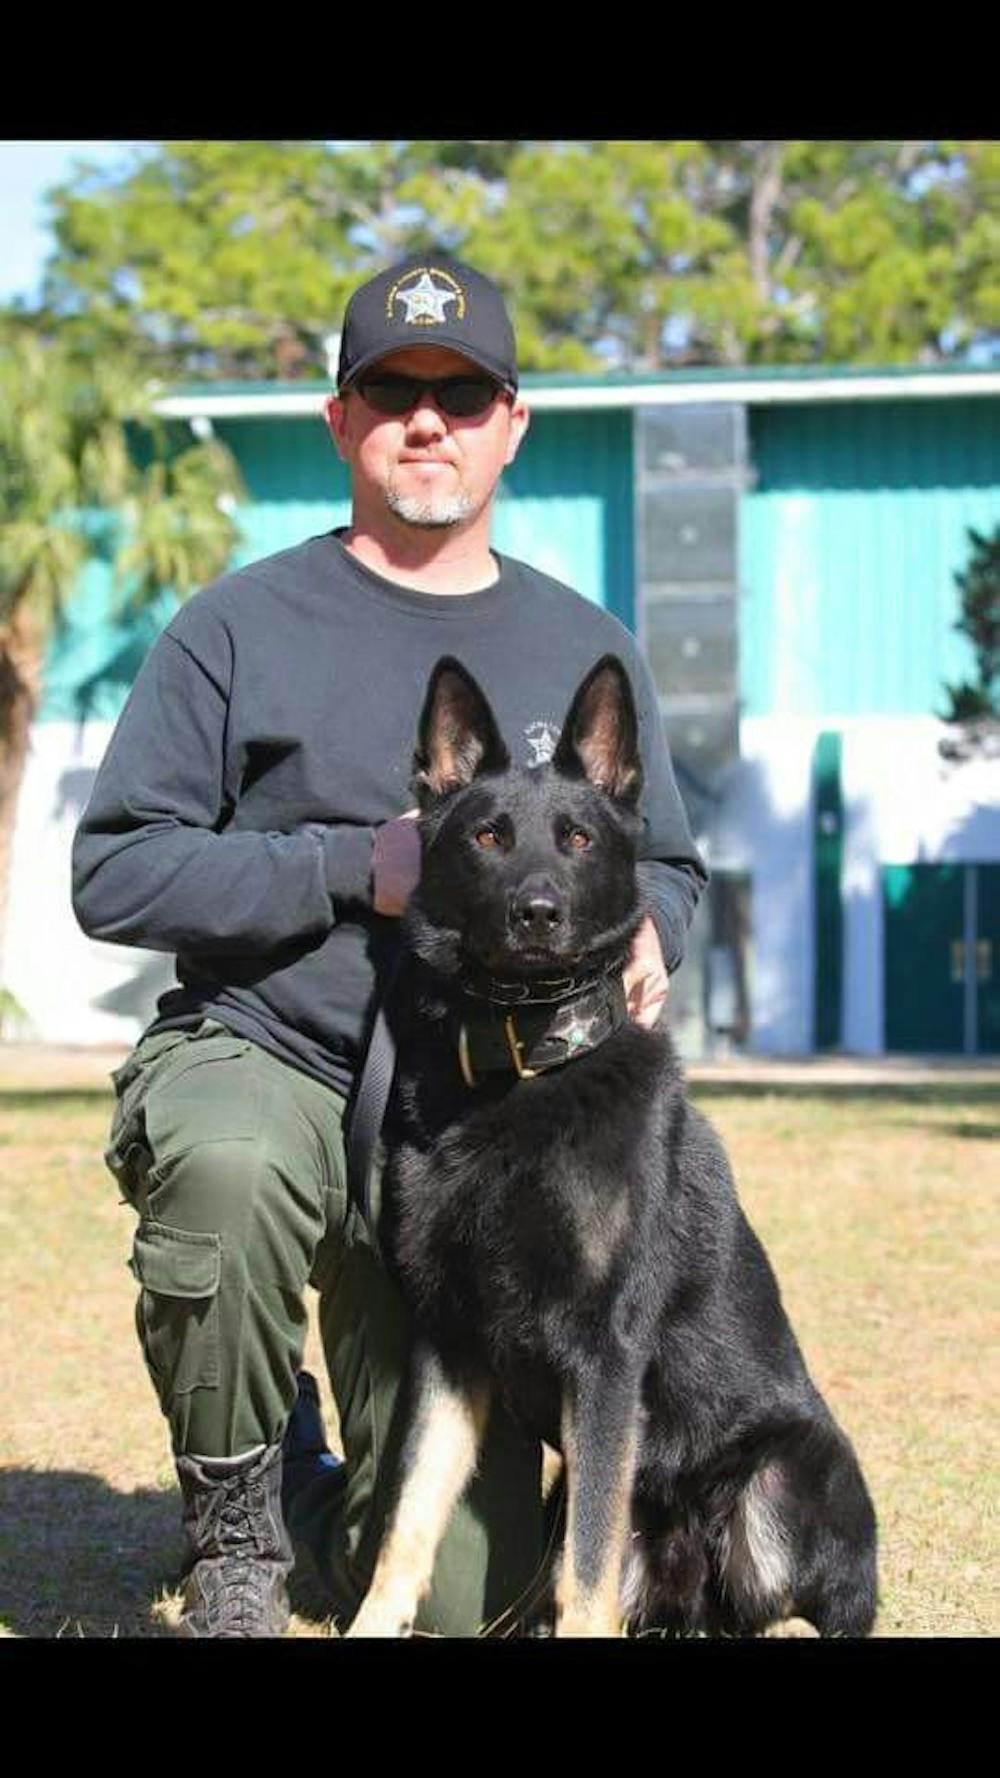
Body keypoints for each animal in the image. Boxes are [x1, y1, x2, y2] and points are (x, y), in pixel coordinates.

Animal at [346, 654, 875, 1635]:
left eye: (578, 839)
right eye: (488, 837)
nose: (537, 913)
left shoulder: (603, 1359)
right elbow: (409, 1519)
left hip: (782, 1473)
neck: (524, 1069)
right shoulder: (448, 1343)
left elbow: (583, 1574)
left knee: (789, 1609)